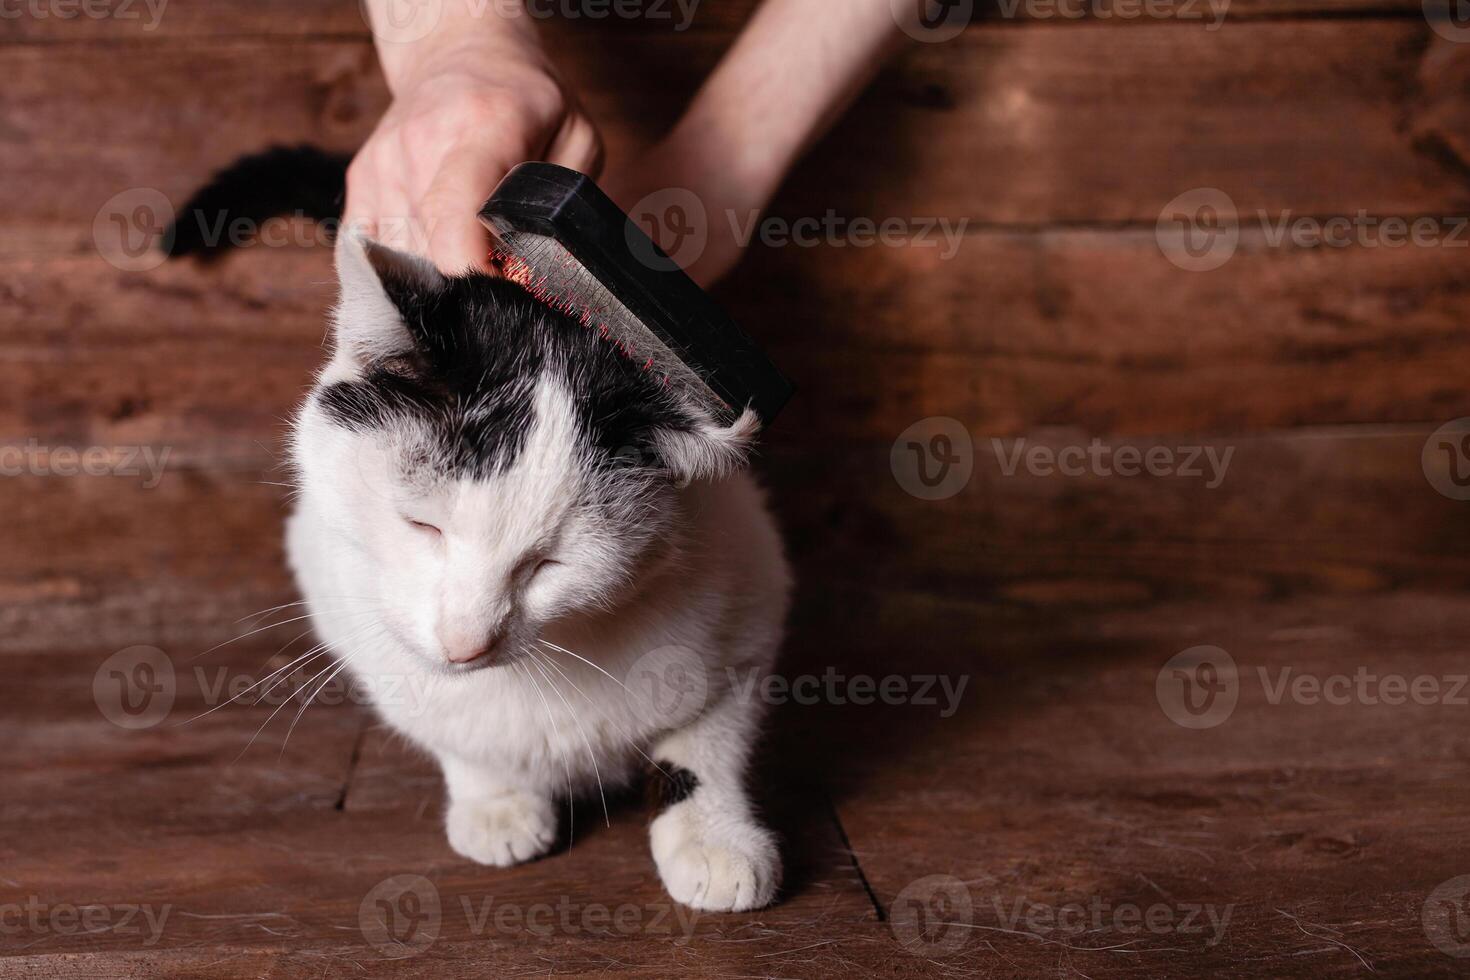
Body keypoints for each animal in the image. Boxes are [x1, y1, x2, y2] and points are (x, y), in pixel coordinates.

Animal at [169, 147, 793, 910]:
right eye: (423, 525)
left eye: (550, 564)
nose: (466, 644)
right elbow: (452, 729)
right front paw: (496, 799)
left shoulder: (749, 605)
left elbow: (707, 742)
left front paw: (713, 838)